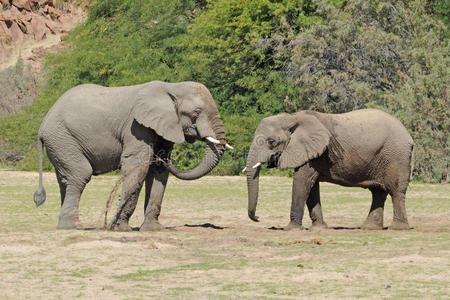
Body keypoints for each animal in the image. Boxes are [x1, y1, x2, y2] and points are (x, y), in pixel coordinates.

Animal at [33, 79, 230, 230]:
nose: (108, 223)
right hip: (62, 139)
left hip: (61, 144)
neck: (171, 87)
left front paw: (153, 229)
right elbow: (138, 166)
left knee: (65, 180)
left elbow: (158, 172)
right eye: (196, 112)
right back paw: (73, 227)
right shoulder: (136, 127)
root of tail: (42, 126)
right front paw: (120, 228)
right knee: (80, 174)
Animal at [246, 109, 414, 231]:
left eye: (271, 141)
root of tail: (409, 136)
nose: (258, 218)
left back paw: (398, 228)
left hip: (396, 155)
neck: (292, 118)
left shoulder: (313, 151)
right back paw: (369, 228)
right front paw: (319, 229)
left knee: (395, 191)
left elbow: (301, 181)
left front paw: (291, 229)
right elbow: (312, 186)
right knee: (378, 192)